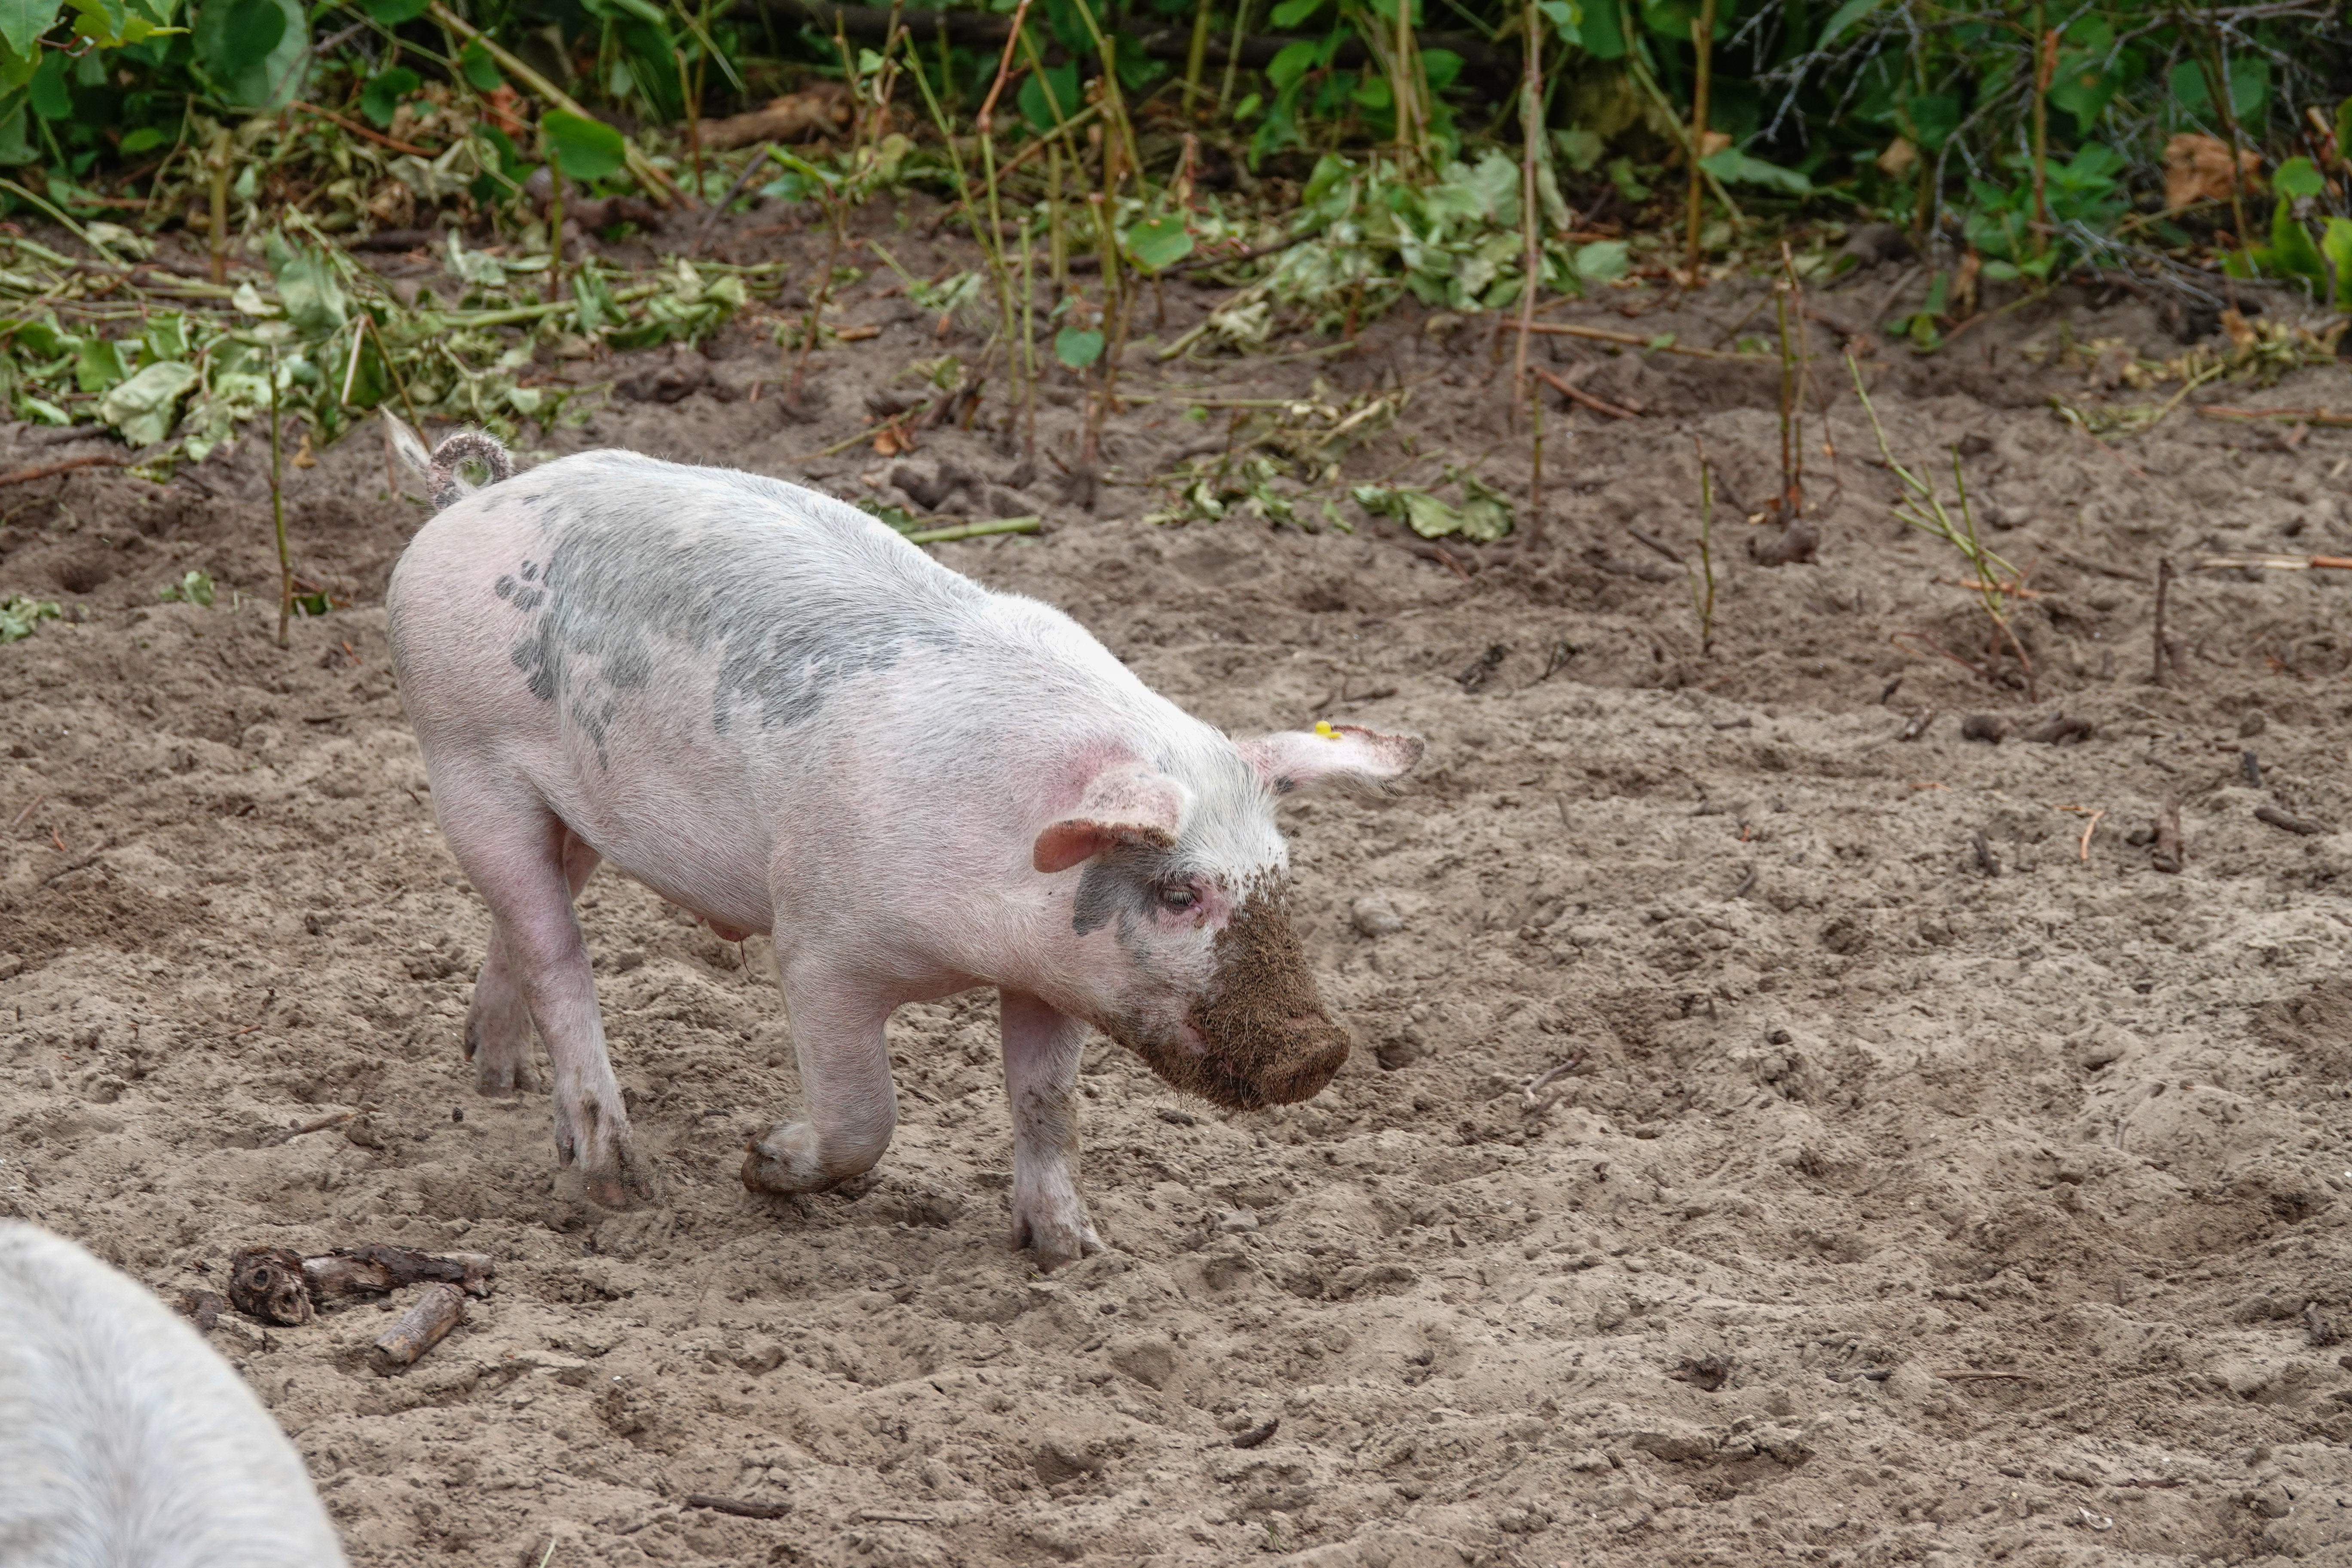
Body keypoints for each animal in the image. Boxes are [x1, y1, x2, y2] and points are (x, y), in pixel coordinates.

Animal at [384, 423, 1420, 1264]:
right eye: (1178, 895)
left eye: (1280, 877)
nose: (1318, 1049)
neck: (982, 932)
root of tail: (465, 499)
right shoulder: (818, 946)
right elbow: (865, 1115)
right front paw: (761, 1161)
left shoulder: (1055, 977)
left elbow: (1048, 1106)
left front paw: (1075, 1253)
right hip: (464, 760)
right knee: (557, 950)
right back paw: (615, 1180)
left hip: (573, 808)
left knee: (527, 920)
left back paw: (499, 1081)